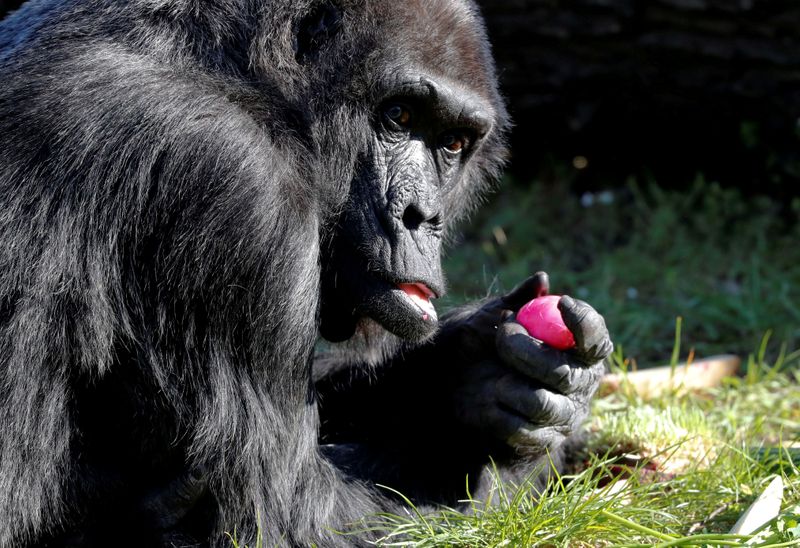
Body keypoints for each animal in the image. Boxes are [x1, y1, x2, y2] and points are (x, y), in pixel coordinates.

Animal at [0, 0, 612, 544]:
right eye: (399, 116)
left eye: (454, 143)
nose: (423, 216)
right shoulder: (237, 188)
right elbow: (292, 519)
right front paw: (508, 464)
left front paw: (476, 380)